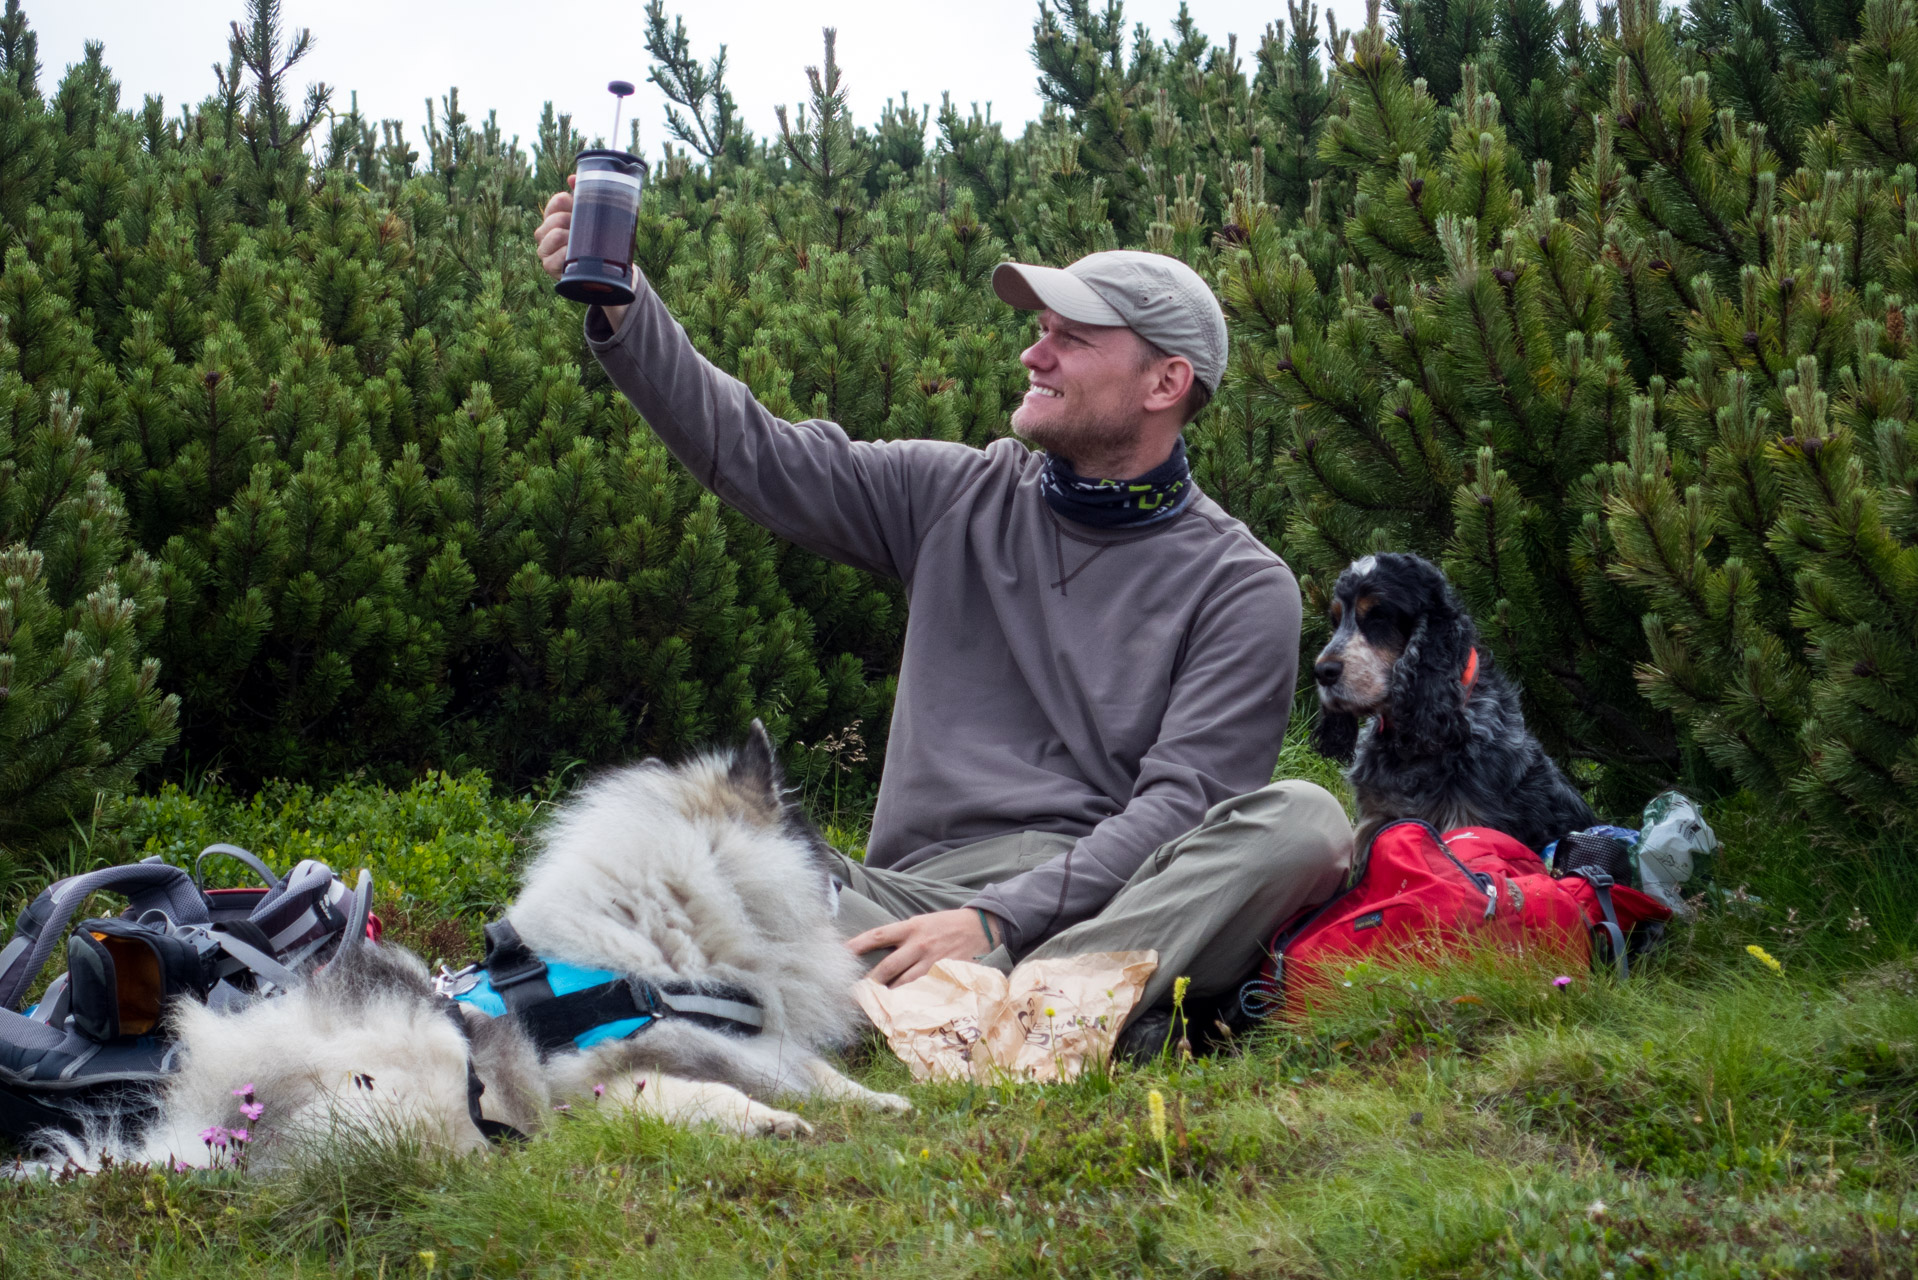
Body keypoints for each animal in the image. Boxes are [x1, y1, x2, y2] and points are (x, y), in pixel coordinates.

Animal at [37, 721, 905, 1174]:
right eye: (814, 846)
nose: (842, 880)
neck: (651, 957)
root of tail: (209, 1130)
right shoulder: (595, 1075)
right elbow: (703, 1096)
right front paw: (772, 1125)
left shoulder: (749, 1046)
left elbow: (821, 1078)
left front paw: (887, 1103)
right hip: (431, 1054)